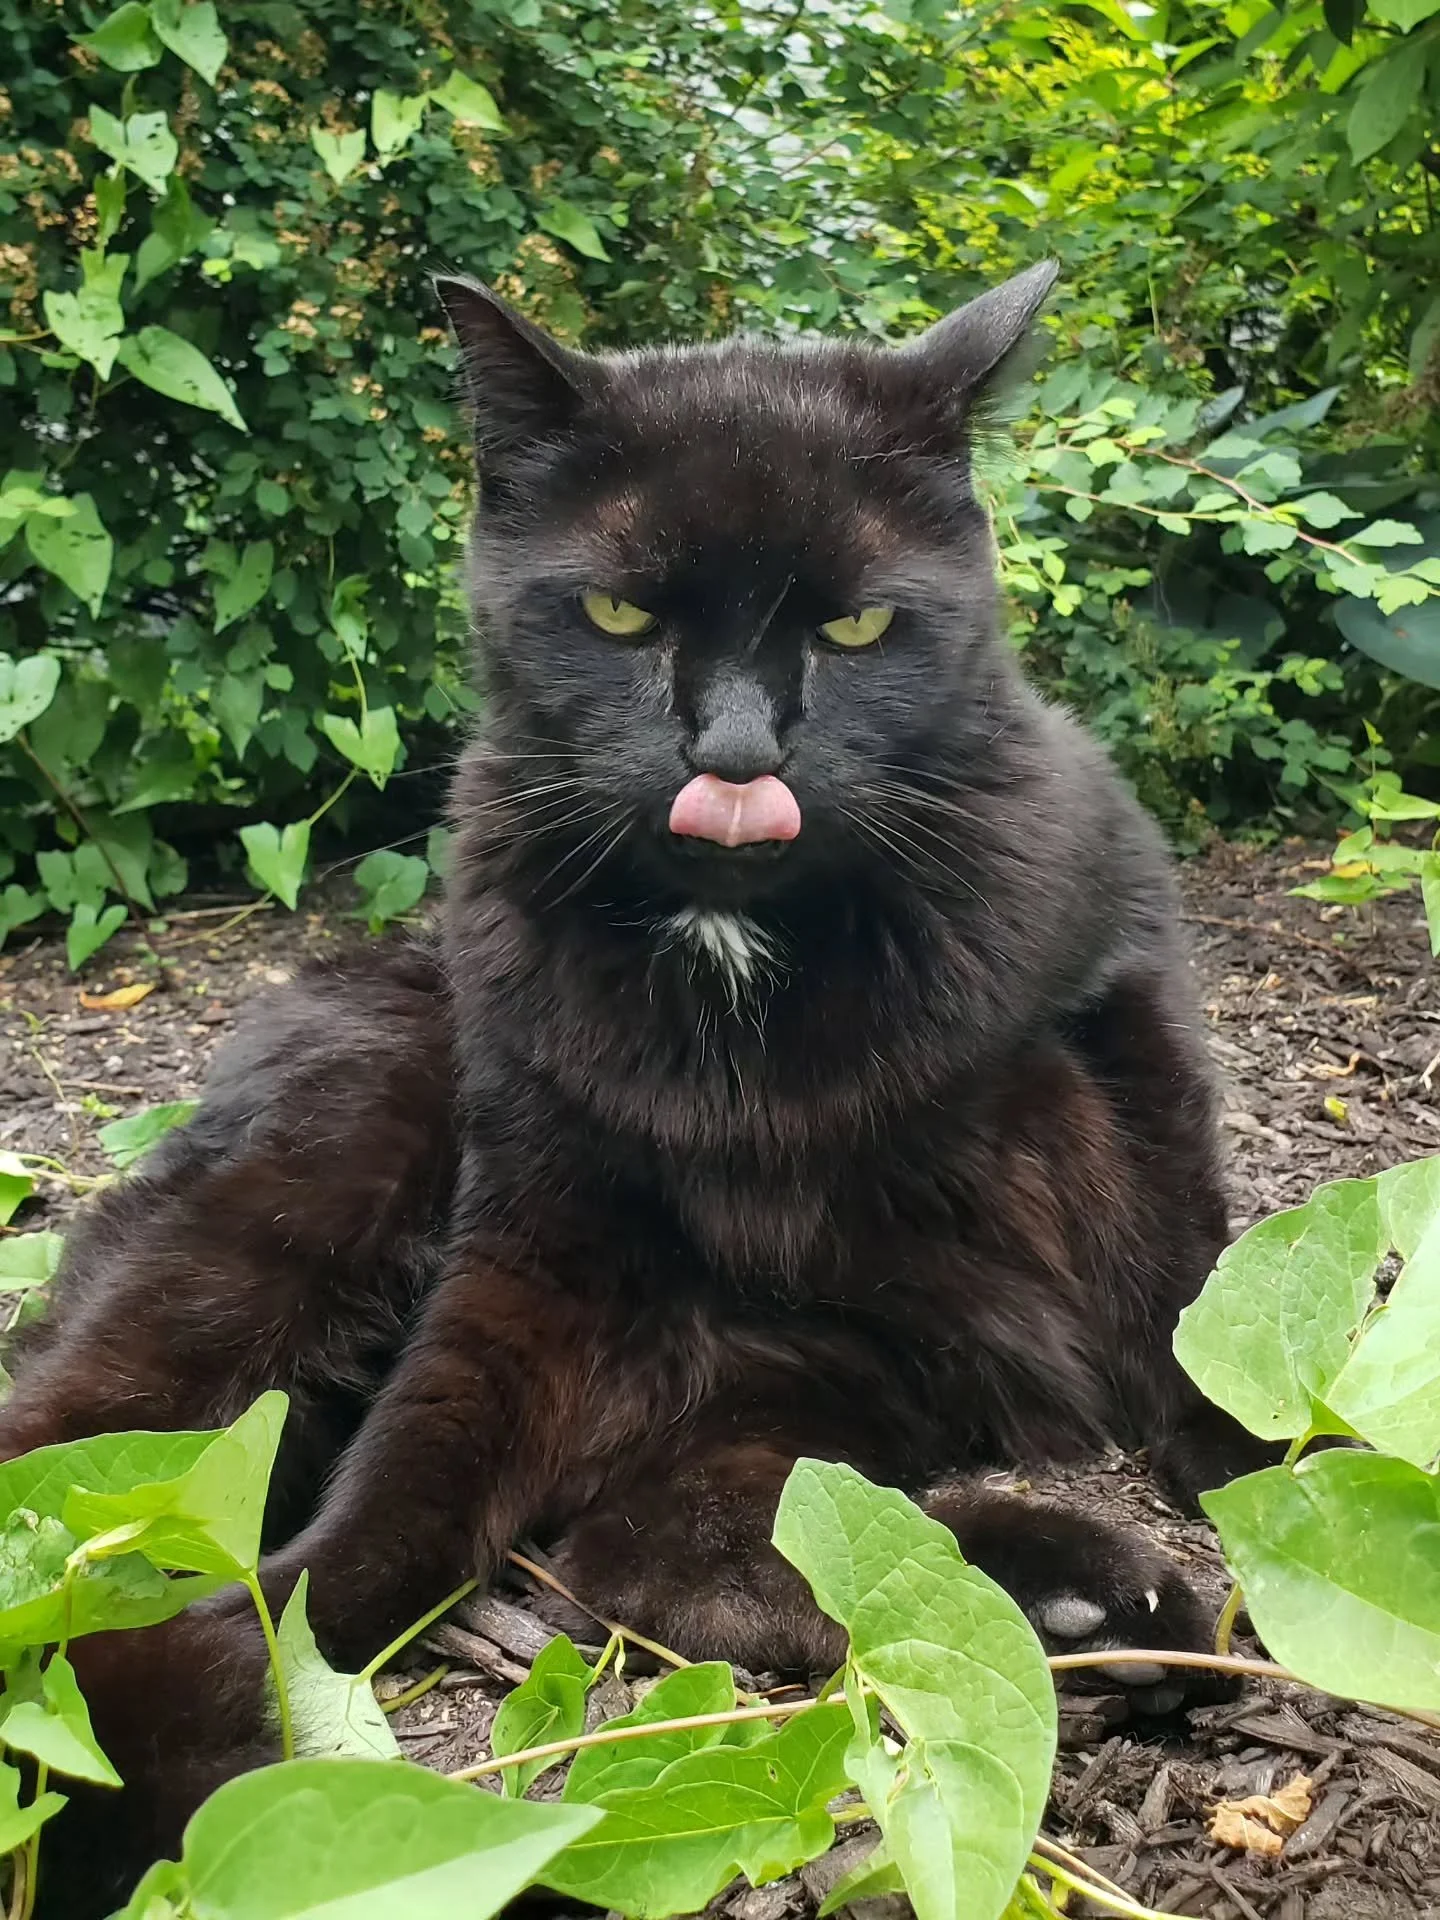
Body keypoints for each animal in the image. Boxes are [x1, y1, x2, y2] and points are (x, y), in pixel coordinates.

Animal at [0, 262, 1266, 1917]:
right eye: (615, 614)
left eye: (859, 624)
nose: (734, 751)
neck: (739, 957)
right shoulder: (534, 1226)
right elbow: (381, 1517)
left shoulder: (1124, 1009)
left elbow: (1198, 1287)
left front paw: (1277, 1480)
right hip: (317, 1204)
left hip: (815, 1356)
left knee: (673, 1541)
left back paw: (1080, 1614)